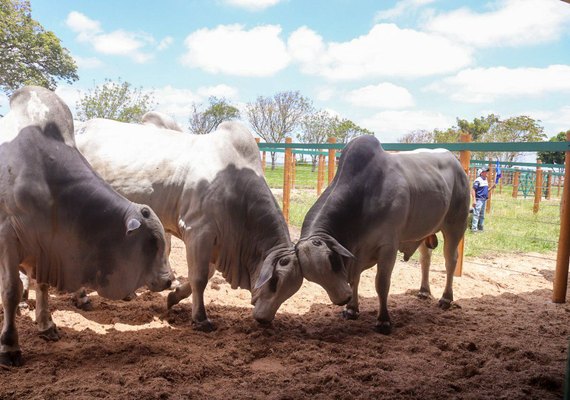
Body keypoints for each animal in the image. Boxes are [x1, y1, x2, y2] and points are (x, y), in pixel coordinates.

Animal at [0, 86, 173, 366]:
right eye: (152, 242)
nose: (169, 280)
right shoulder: (8, 238)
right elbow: (11, 291)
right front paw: (10, 346)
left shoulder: (45, 249)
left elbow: (42, 285)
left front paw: (46, 325)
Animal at [75, 118, 302, 328]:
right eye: (274, 282)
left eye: (290, 291)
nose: (264, 320)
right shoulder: (198, 231)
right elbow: (199, 278)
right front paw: (200, 318)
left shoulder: (217, 240)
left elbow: (207, 274)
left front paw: (173, 296)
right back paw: (82, 297)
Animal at [296, 135, 468, 334]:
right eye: (311, 277)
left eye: (333, 263)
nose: (342, 300)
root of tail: (456, 162)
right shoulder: (357, 252)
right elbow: (355, 280)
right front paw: (351, 309)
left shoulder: (388, 246)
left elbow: (382, 283)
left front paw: (384, 320)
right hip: (425, 232)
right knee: (426, 259)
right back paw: (424, 291)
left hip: (455, 226)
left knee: (450, 261)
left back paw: (446, 298)